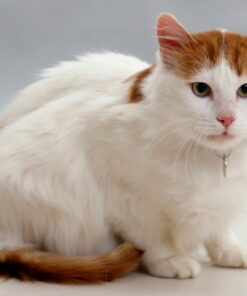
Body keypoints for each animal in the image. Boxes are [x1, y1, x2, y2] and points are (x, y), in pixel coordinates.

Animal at [0, 12, 247, 284]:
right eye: (201, 89)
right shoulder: (122, 195)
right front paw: (169, 259)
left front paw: (229, 249)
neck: (210, 159)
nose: (226, 118)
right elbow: (151, 235)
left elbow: (218, 226)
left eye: (244, 89)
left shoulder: (222, 195)